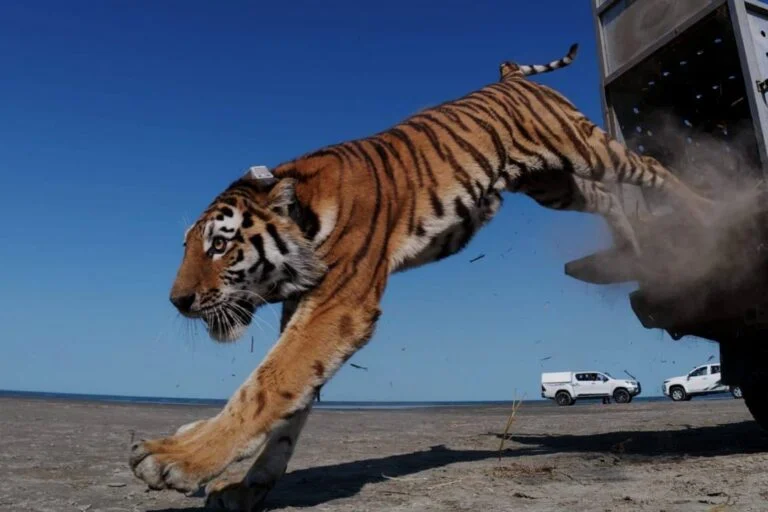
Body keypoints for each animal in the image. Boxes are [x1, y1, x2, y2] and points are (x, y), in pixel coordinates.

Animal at [130, 43, 713, 509]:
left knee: (649, 170)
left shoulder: (339, 305)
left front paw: (174, 457)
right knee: (607, 198)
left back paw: (709, 211)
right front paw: (245, 487)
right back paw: (632, 246)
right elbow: (292, 403)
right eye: (188, 246)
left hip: (585, 147)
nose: (177, 301)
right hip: (553, 183)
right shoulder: (307, 309)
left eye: (219, 245)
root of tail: (510, 78)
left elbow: (266, 384)